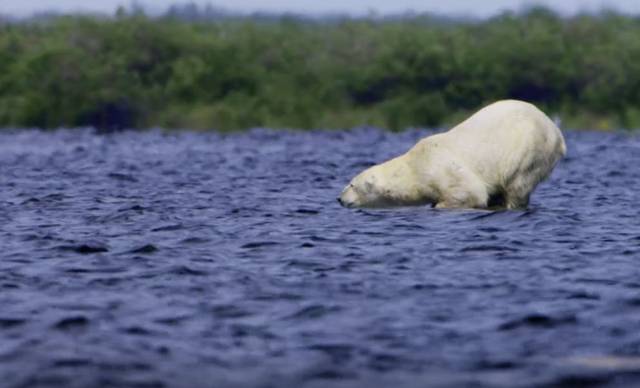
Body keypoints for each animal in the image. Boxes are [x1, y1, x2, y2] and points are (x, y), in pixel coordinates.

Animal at [338, 100, 568, 209]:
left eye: (351, 185)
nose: (339, 199)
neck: (414, 167)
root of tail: (555, 129)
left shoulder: (443, 170)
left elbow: (470, 192)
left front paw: (440, 204)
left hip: (530, 148)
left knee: (517, 185)